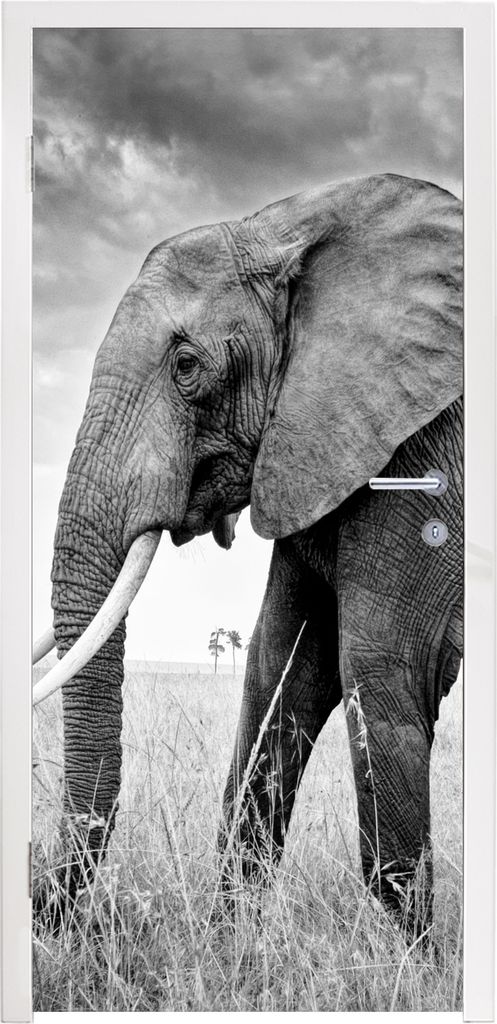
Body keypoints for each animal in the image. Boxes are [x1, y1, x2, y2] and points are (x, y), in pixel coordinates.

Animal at [33, 172, 463, 938]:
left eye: (186, 366)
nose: (41, 911)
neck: (291, 227)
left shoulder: (422, 449)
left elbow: (382, 670)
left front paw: (416, 957)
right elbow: (279, 668)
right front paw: (231, 940)